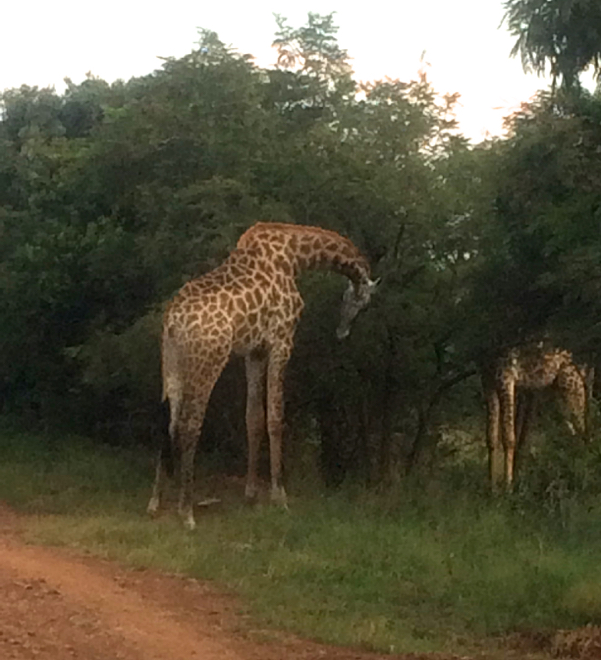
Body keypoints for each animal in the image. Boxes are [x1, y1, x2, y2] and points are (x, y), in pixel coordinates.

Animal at [146, 224, 376, 528]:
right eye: (363, 303)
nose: (342, 332)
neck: (296, 255)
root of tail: (173, 321)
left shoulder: (254, 351)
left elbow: (253, 418)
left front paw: (251, 494)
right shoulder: (282, 341)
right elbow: (275, 418)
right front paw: (279, 497)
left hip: (170, 363)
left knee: (168, 422)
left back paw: (155, 502)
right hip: (207, 361)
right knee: (188, 425)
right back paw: (187, 512)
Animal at [480, 342, 588, 492]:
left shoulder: (506, 378)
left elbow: (509, 438)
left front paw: (508, 487)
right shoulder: (487, 382)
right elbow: (491, 438)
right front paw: (492, 488)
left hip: (571, 391)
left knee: (582, 431)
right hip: (559, 398)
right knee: (574, 433)